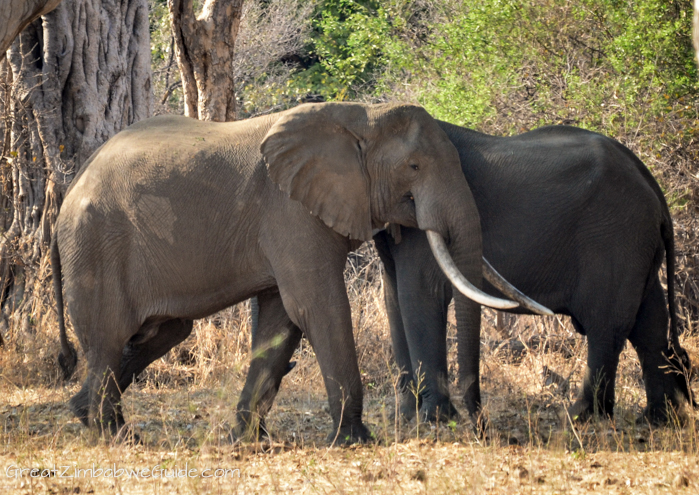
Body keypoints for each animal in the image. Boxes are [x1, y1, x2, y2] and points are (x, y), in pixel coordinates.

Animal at [53, 101, 540, 442]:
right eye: (414, 167)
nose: (477, 426)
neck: (362, 115)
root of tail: (71, 186)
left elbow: (281, 319)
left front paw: (248, 440)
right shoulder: (291, 212)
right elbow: (317, 305)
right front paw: (355, 441)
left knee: (162, 333)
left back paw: (86, 414)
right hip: (97, 244)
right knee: (109, 336)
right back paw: (114, 434)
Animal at [372, 122, 696, 424]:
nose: (480, 425)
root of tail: (652, 184)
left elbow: (420, 295)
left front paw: (433, 421)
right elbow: (393, 298)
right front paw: (406, 418)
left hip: (618, 235)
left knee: (607, 323)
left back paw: (578, 418)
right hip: (638, 243)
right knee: (649, 322)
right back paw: (657, 420)